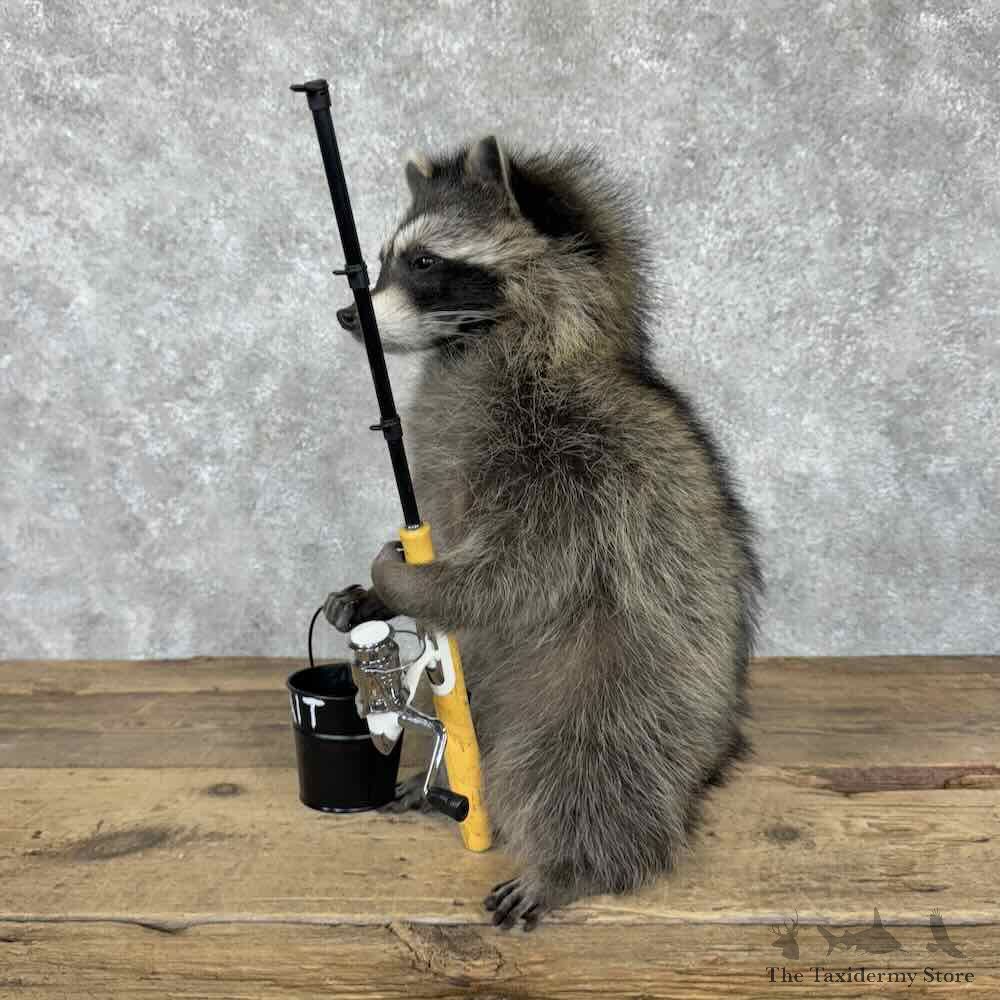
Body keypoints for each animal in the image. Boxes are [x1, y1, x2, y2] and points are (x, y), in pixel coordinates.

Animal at [331, 136, 764, 930]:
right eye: (380, 260)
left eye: (426, 263)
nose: (350, 313)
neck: (485, 344)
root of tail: (708, 756)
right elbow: (450, 527)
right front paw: (376, 595)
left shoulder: (586, 470)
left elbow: (515, 572)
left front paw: (407, 581)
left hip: (634, 681)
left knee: (591, 762)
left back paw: (575, 862)